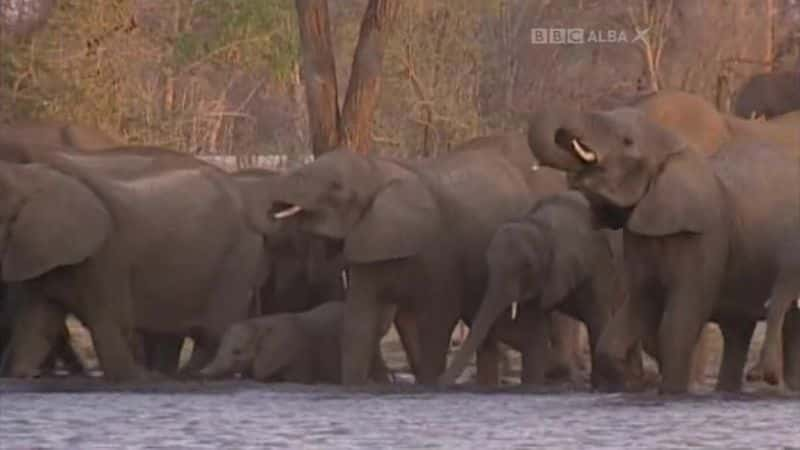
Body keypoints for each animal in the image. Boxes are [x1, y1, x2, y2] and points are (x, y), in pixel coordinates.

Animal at [0, 144, 264, 380]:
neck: (31, 177)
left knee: (214, 332)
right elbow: (37, 324)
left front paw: (134, 378)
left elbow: (111, 322)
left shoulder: (106, 256)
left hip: (236, 259)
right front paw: (23, 374)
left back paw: (187, 375)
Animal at [270, 134, 568, 384]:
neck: (377, 171)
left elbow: (437, 321)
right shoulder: (369, 243)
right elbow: (360, 321)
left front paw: (429, 385)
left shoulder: (439, 250)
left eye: (336, 187)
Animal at [528, 106, 800, 394]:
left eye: (627, 141)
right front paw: (633, 383)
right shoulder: (639, 238)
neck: (674, 147)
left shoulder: (706, 237)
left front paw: (671, 392)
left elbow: (677, 326)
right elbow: (632, 313)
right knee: (739, 331)